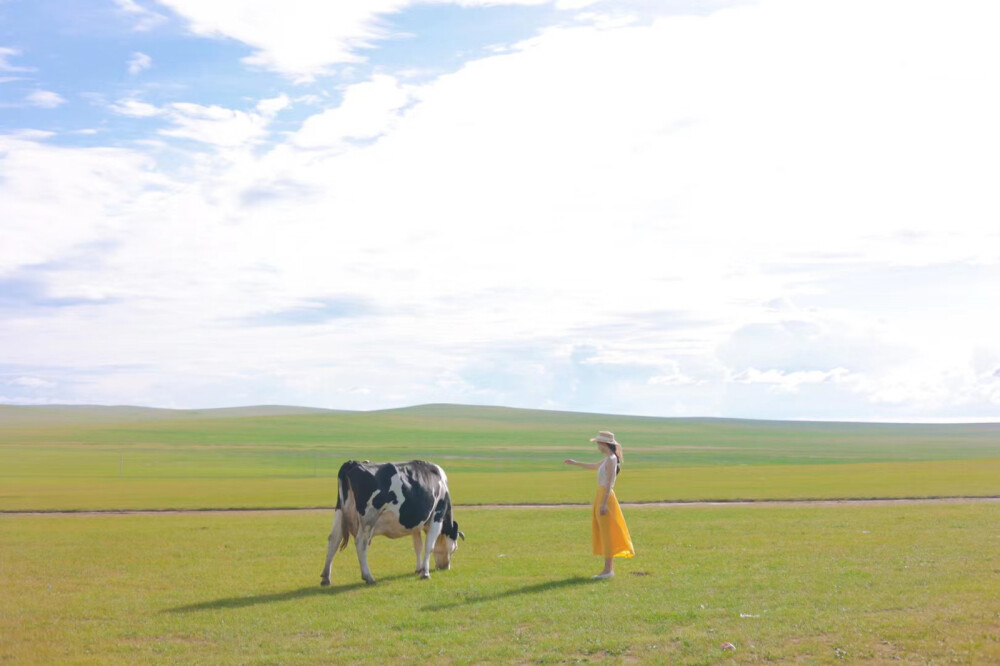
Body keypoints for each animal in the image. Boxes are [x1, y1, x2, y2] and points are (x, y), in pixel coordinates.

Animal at [320, 460, 464, 584]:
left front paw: (419, 569)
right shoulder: (437, 517)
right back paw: (368, 576)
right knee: (361, 542)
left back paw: (326, 577)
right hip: (368, 517)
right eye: (455, 548)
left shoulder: (415, 525)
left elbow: (418, 546)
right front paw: (426, 573)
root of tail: (353, 463)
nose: (445, 567)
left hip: (340, 512)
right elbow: (429, 547)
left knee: (334, 539)